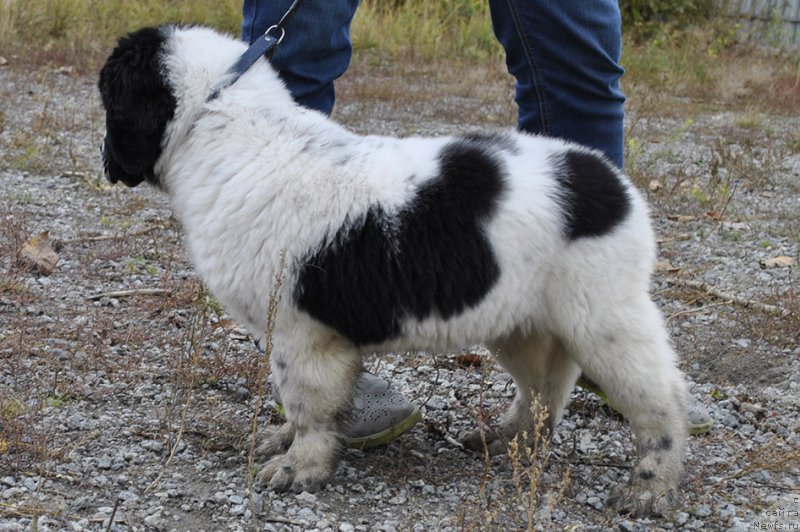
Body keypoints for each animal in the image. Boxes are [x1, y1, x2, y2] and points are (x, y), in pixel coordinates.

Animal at [98, 25, 688, 516]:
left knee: (660, 402)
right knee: (545, 389)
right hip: (522, 320)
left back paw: (649, 486)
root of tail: (605, 176)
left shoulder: (300, 333)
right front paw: (284, 441)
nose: (103, 159)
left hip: (605, 319)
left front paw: (299, 468)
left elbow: (308, 407)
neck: (224, 123)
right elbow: (296, 403)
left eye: (108, 101)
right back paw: (508, 438)